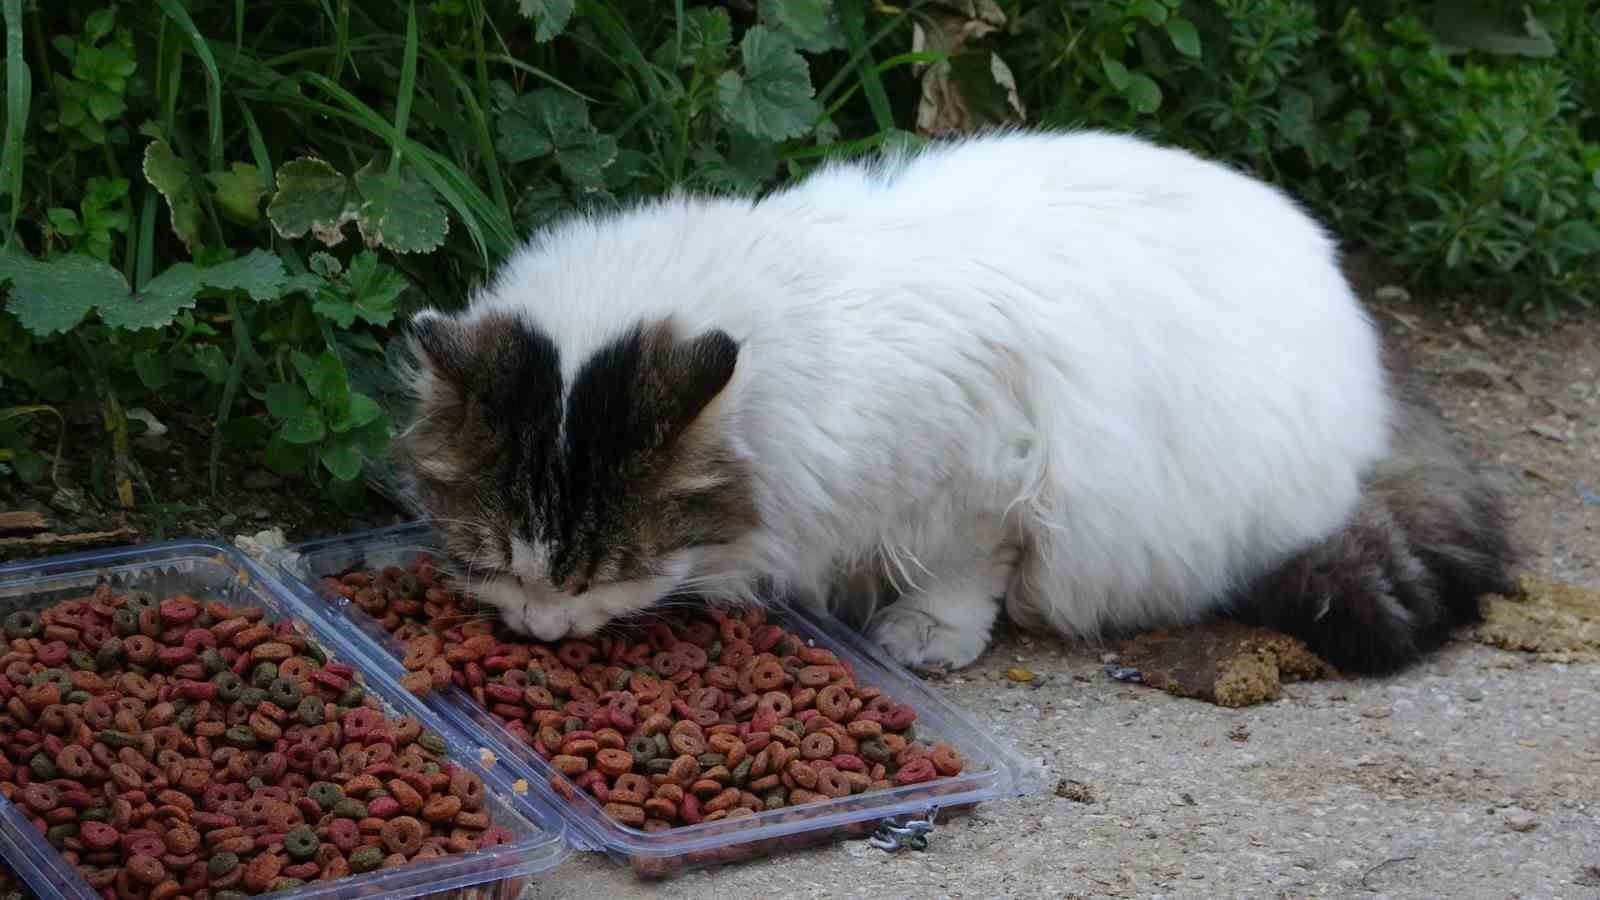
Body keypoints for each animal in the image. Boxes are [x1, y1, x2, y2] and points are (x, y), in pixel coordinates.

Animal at [390, 126, 1510, 672]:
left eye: (606, 573)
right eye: (496, 562)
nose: (539, 632)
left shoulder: (990, 465)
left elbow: (967, 563)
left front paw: (930, 633)